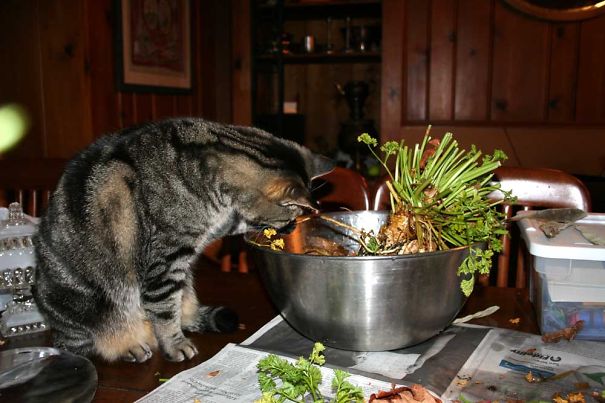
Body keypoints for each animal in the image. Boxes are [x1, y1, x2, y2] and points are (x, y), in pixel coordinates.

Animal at [30, 118, 332, 364]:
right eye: (291, 216)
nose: (292, 227)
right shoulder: (166, 259)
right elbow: (164, 310)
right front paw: (174, 346)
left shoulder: (215, 226)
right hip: (80, 307)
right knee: (85, 344)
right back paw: (131, 347)